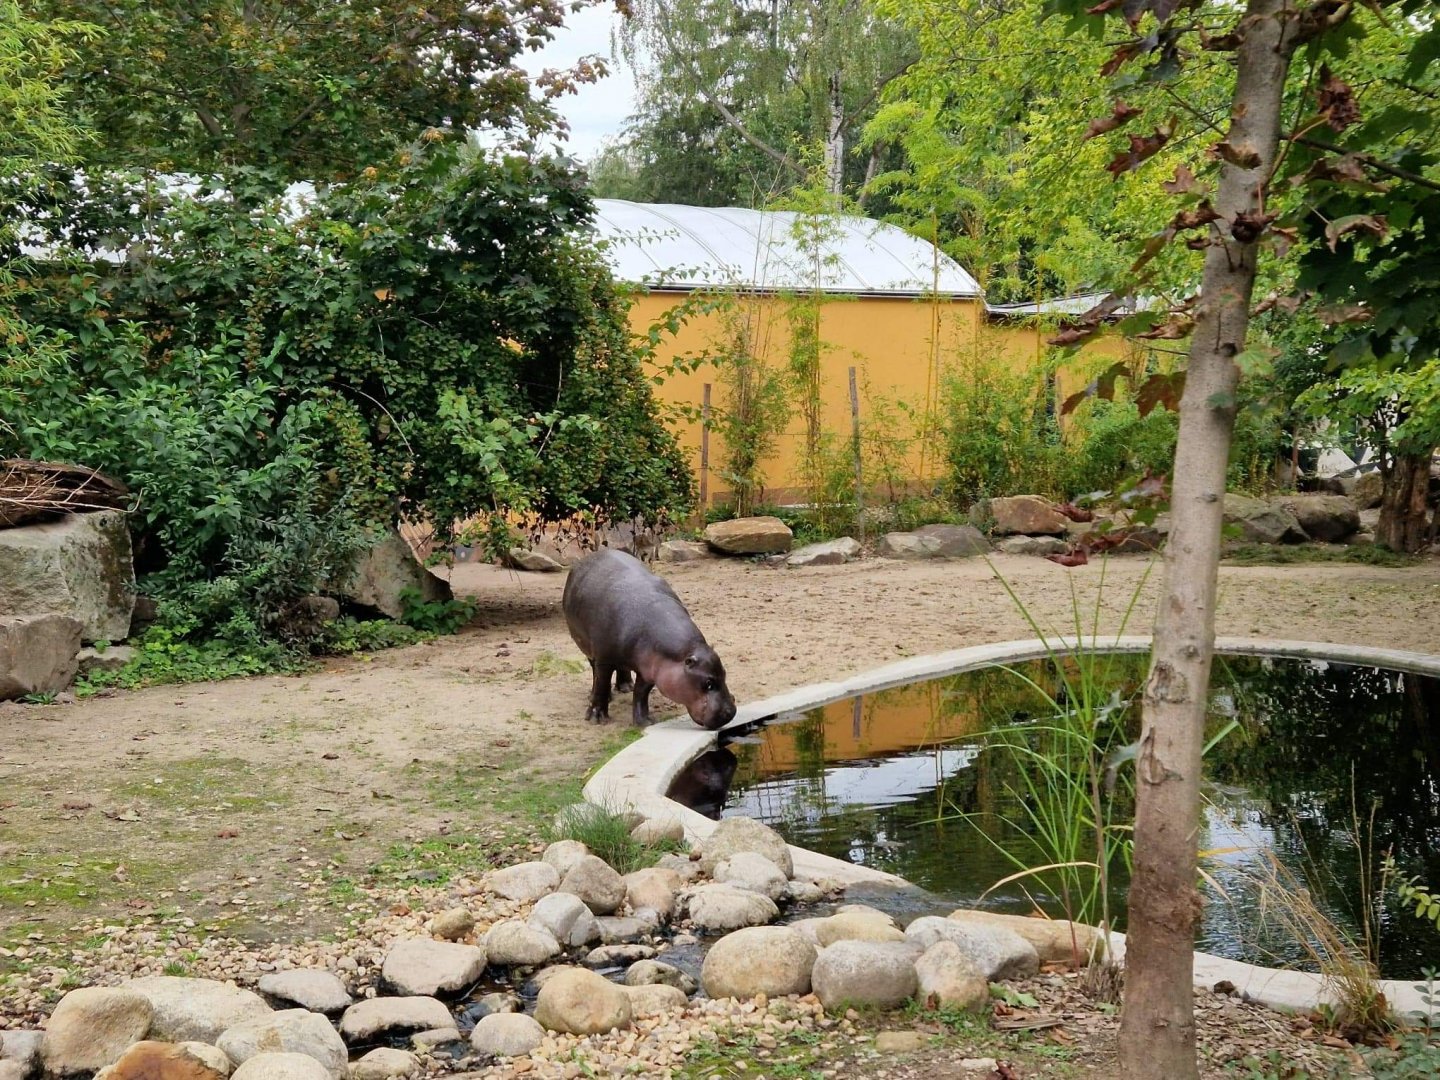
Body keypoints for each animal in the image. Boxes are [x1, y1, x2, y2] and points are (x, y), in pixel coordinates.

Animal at [563, 548, 737, 730]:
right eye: (708, 683)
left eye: (724, 674)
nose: (731, 713)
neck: (685, 652)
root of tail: (590, 556)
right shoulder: (604, 659)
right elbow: (602, 683)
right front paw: (597, 718)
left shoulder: (651, 669)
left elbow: (641, 693)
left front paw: (645, 722)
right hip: (588, 647)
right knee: (595, 673)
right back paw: (601, 697)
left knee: (622, 670)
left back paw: (626, 687)